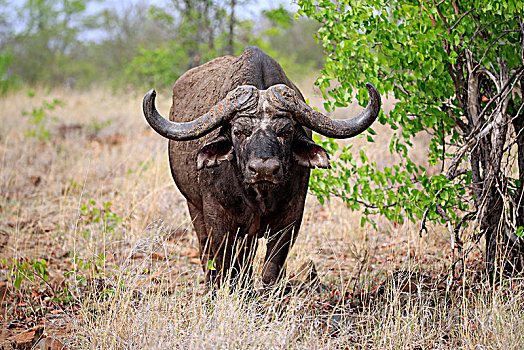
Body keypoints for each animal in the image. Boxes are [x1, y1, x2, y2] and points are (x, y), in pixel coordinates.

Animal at [143, 46, 380, 288]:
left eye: (286, 131)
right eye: (239, 131)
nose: (264, 170)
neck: (259, 195)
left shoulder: (290, 219)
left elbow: (271, 269)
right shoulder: (217, 219)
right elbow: (223, 264)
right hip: (194, 207)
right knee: (207, 252)